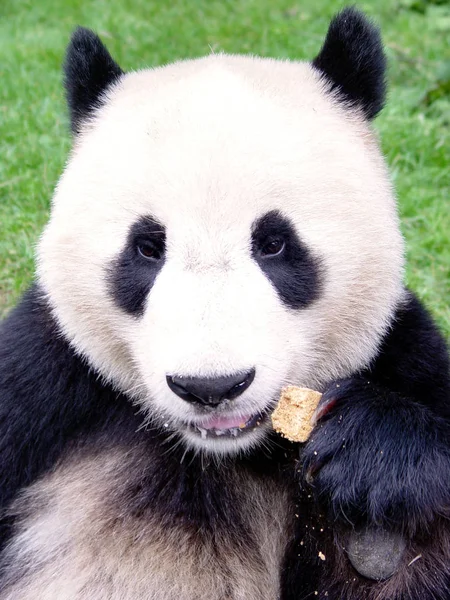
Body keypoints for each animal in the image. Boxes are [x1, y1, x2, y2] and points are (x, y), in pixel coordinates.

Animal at [0, 5, 450, 600]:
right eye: (147, 248)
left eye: (275, 243)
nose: (211, 387)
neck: (221, 453)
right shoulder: (42, 380)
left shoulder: (403, 353)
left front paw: (370, 452)